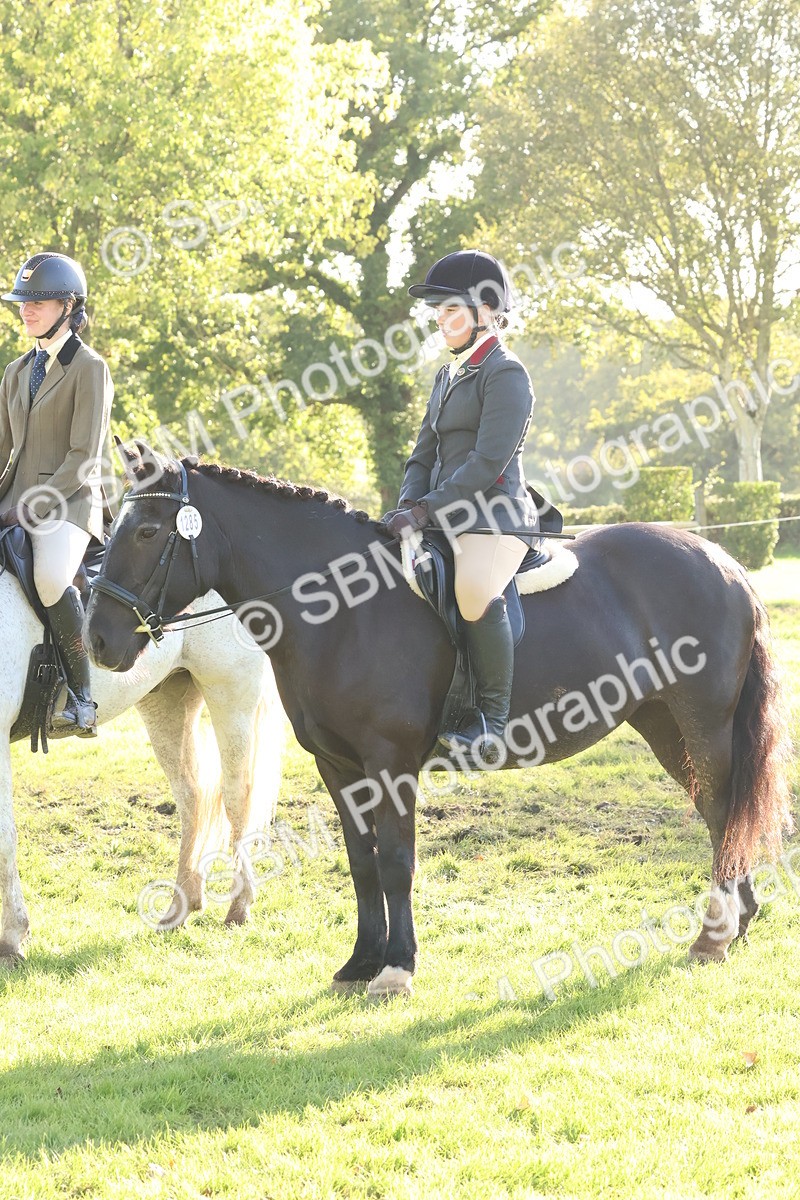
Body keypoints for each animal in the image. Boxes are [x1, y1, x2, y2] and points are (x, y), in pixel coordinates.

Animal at [0, 567, 283, 966]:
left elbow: (5, 839)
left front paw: (12, 939)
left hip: (231, 694)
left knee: (237, 799)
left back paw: (238, 908)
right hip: (166, 699)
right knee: (192, 797)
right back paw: (180, 906)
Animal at [85, 444, 794, 996]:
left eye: (146, 532)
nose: (98, 641)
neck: (343, 608)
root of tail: (724, 562)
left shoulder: (392, 762)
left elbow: (398, 860)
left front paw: (397, 969)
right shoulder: (338, 765)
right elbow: (363, 862)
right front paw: (359, 963)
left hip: (703, 723)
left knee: (724, 808)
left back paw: (714, 934)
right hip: (666, 725)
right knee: (720, 813)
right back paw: (735, 924)